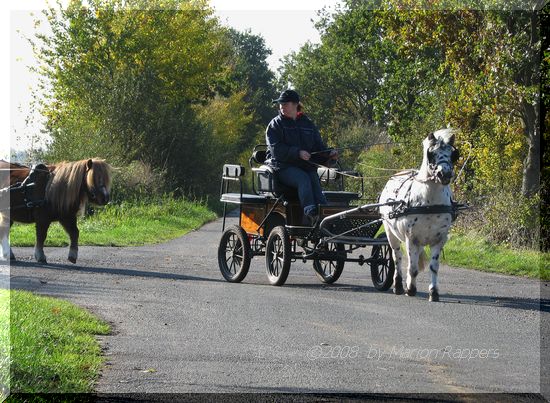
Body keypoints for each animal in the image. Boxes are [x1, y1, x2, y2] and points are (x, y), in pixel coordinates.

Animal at [380, 130, 462, 304]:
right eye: (431, 153)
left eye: (452, 154)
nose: (444, 174)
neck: (429, 203)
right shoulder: (411, 239)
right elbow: (412, 268)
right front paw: (410, 289)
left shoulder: (439, 239)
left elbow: (434, 267)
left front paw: (434, 292)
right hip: (391, 233)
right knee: (397, 257)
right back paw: (398, 285)